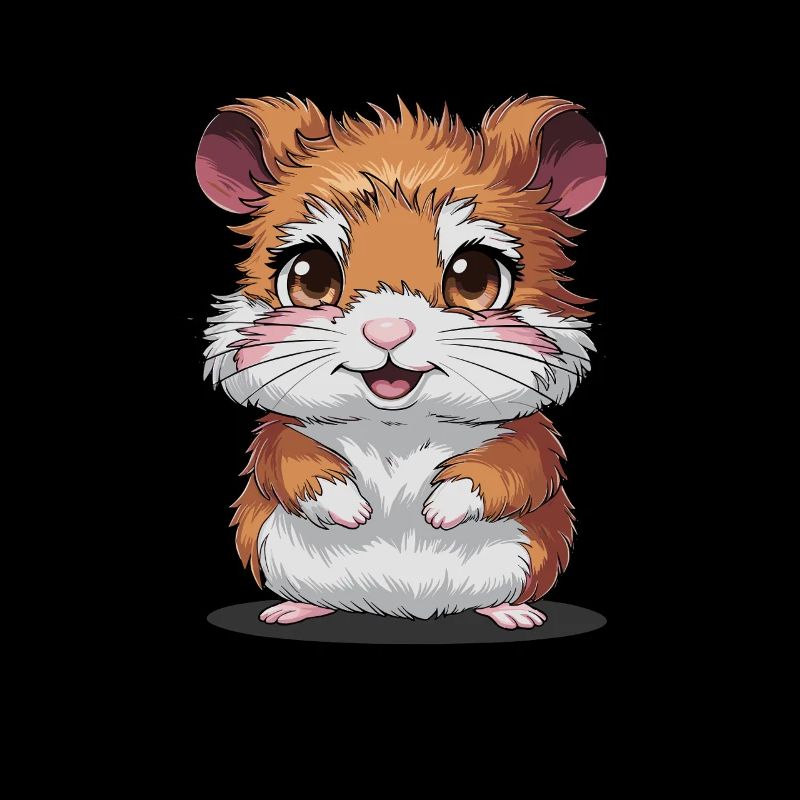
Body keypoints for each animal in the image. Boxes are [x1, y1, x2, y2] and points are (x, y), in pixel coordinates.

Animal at [196, 95, 606, 628]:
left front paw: (437, 511)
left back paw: (513, 614)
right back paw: (291, 609)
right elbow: (289, 463)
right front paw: (355, 513)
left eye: (474, 278)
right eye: (308, 276)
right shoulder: (281, 431)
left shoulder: (527, 436)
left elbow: (511, 468)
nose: (387, 330)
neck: (396, 427)